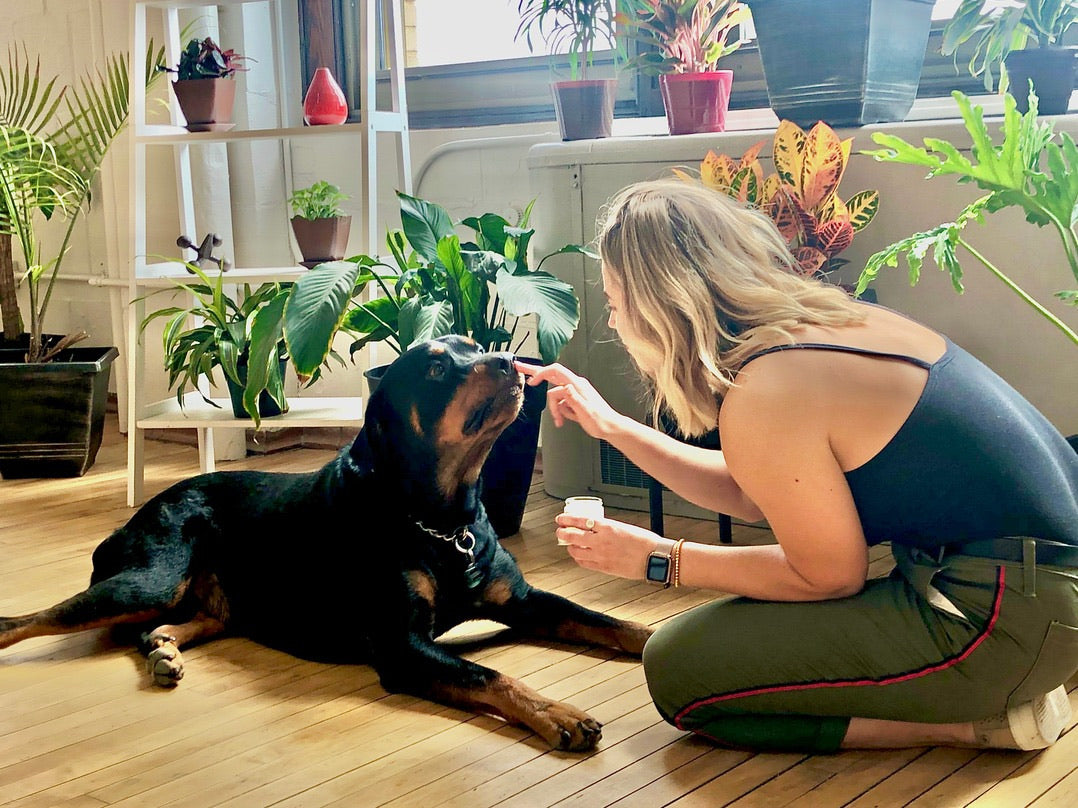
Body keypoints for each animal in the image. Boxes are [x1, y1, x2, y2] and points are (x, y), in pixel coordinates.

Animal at [0, 336, 651, 754]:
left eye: (472, 345)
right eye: (436, 369)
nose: (510, 359)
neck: (443, 517)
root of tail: (134, 517)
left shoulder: (520, 598)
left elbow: (600, 618)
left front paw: (653, 636)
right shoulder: (401, 646)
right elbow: (491, 676)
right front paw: (558, 713)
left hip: (207, 598)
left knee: (183, 621)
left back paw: (165, 649)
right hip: (149, 579)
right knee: (27, 620)